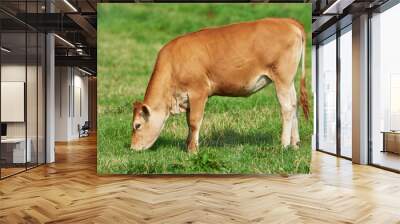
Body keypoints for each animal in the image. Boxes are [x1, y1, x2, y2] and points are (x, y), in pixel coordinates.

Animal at [131, 18, 310, 153]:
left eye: (137, 125)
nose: (132, 148)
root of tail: (288, 21)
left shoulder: (198, 91)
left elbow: (194, 121)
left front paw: (193, 150)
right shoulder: (187, 98)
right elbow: (189, 122)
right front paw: (188, 145)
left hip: (282, 78)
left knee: (286, 108)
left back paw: (284, 145)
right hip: (289, 80)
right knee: (295, 105)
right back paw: (295, 144)